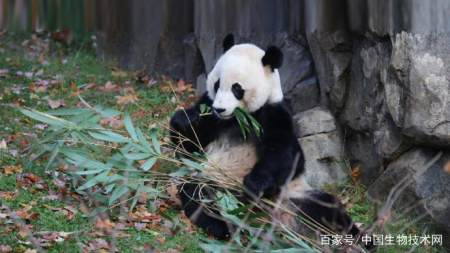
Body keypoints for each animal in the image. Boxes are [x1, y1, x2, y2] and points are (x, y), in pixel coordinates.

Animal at [169, 34, 370, 250]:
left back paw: (362, 240)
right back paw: (223, 226)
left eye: (236, 88)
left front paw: (253, 184)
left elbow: (286, 156)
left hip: (293, 194)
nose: (220, 109)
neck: (237, 119)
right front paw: (185, 120)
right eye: (217, 84)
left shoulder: (274, 113)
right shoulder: (210, 113)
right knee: (199, 196)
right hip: (213, 181)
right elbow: (188, 145)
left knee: (325, 207)